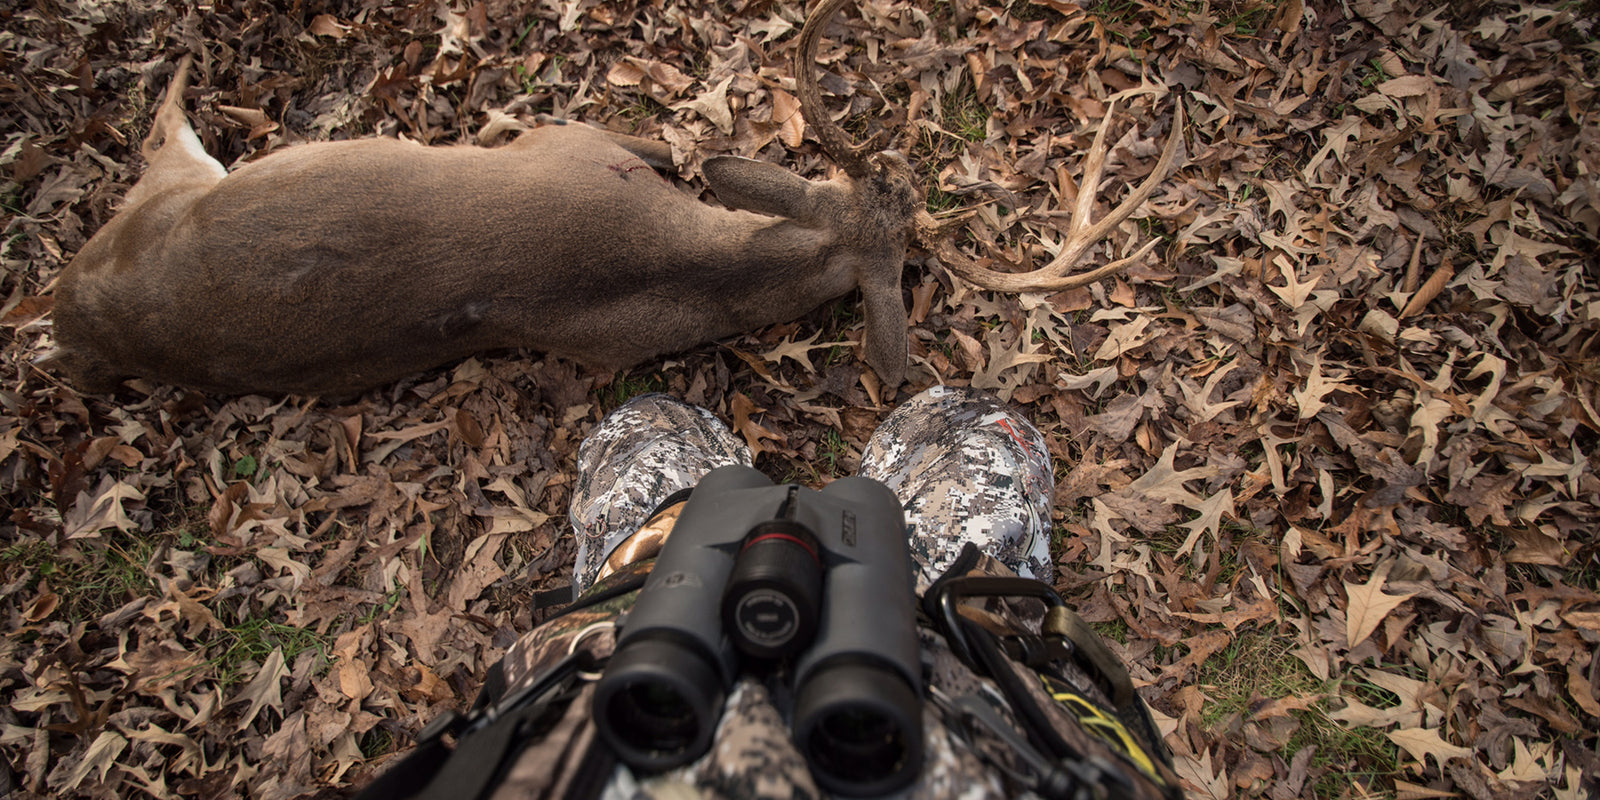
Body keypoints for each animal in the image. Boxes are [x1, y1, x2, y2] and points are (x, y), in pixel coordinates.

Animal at [46, 0, 1181, 398]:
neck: (681, 264)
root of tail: (66, 317)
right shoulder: (579, 143)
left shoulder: (574, 141)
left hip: (168, 191)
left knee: (161, 128)